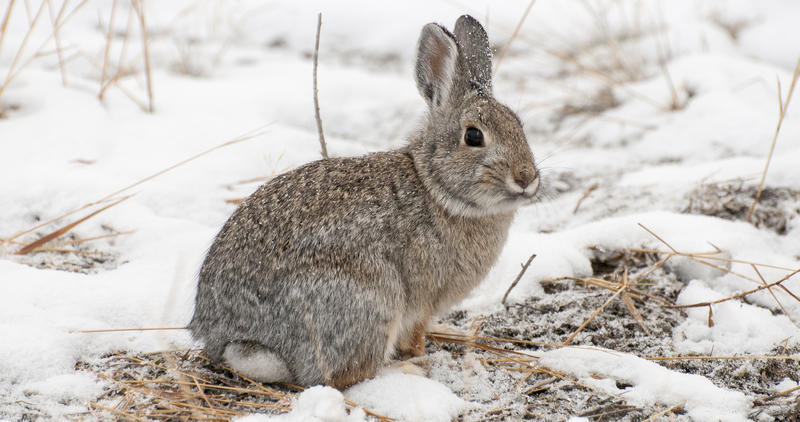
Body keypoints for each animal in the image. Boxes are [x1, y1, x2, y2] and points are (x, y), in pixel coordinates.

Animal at [188, 14, 540, 389]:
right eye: (473, 136)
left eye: (519, 125)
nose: (526, 177)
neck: (435, 187)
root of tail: (232, 336)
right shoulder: (420, 303)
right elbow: (414, 337)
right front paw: (420, 356)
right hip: (368, 301)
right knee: (344, 375)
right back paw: (406, 372)